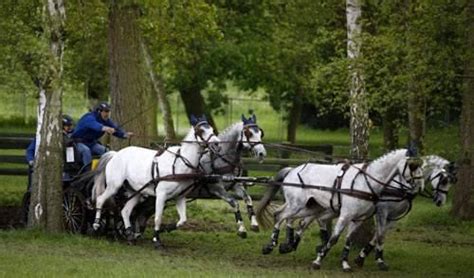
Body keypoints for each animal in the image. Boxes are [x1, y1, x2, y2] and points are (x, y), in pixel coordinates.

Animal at [91, 115, 220, 248]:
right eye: (201, 131)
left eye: (212, 129)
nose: (217, 144)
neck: (179, 163)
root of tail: (116, 154)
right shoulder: (161, 195)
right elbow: (158, 218)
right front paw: (156, 240)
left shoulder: (180, 197)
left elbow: (183, 220)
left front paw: (165, 229)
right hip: (114, 186)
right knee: (100, 199)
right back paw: (96, 224)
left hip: (136, 191)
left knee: (125, 211)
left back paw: (130, 235)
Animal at [256, 149, 422, 270]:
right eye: (413, 166)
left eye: (422, 167)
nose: (416, 189)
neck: (365, 183)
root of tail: (292, 170)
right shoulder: (346, 215)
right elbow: (334, 238)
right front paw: (318, 261)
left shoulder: (357, 219)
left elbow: (348, 240)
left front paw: (345, 263)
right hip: (296, 205)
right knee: (280, 215)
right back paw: (270, 246)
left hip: (310, 207)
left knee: (292, 219)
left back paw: (285, 245)